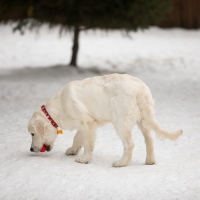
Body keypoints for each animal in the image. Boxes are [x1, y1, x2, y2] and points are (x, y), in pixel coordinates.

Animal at [28, 73, 183, 167]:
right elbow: (77, 138)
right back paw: (150, 161)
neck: (60, 106)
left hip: (121, 121)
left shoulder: (87, 123)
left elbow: (88, 144)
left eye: (32, 134)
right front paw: (72, 150)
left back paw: (121, 163)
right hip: (143, 119)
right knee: (149, 140)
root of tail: (140, 89)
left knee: (130, 144)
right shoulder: (85, 123)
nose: (31, 149)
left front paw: (84, 159)